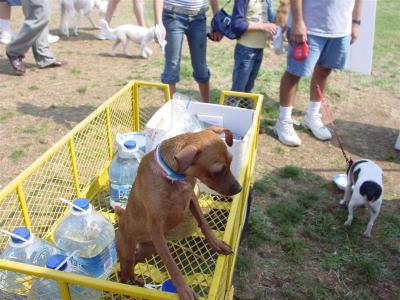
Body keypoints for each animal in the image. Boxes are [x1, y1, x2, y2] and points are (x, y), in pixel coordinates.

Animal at [114, 127, 242, 300]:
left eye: (231, 162)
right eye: (217, 171)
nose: (239, 189)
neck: (172, 177)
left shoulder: (191, 198)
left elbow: (204, 222)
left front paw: (216, 243)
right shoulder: (155, 228)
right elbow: (171, 265)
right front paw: (183, 289)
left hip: (149, 248)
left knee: (135, 261)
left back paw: (136, 279)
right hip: (129, 252)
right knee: (124, 274)